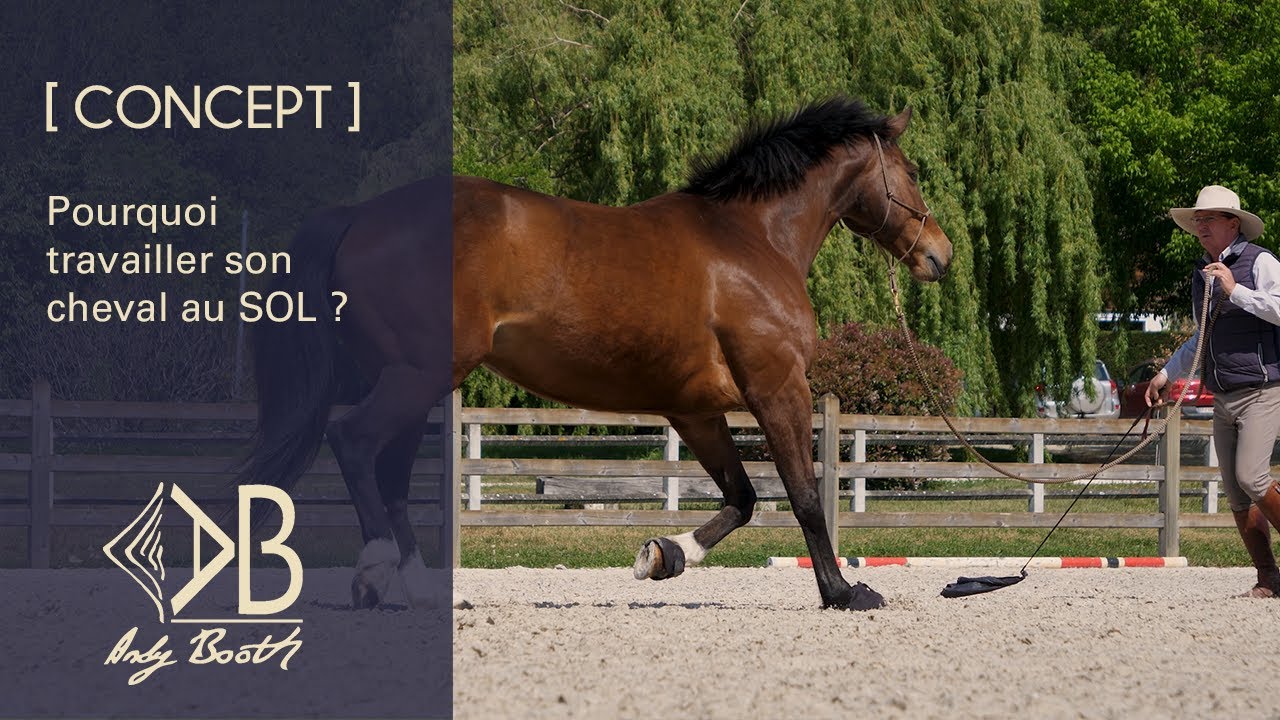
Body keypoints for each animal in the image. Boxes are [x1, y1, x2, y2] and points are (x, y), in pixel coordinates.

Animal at [239, 96, 952, 611]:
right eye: (913, 172)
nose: (939, 254)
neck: (752, 239)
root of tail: (358, 216)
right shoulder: (778, 388)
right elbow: (802, 494)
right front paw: (844, 592)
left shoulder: (694, 410)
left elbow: (743, 497)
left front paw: (663, 556)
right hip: (417, 377)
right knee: (355, 442)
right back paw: (376, 571)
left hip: (409, 382)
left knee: (386, 473)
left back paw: (417, 589)